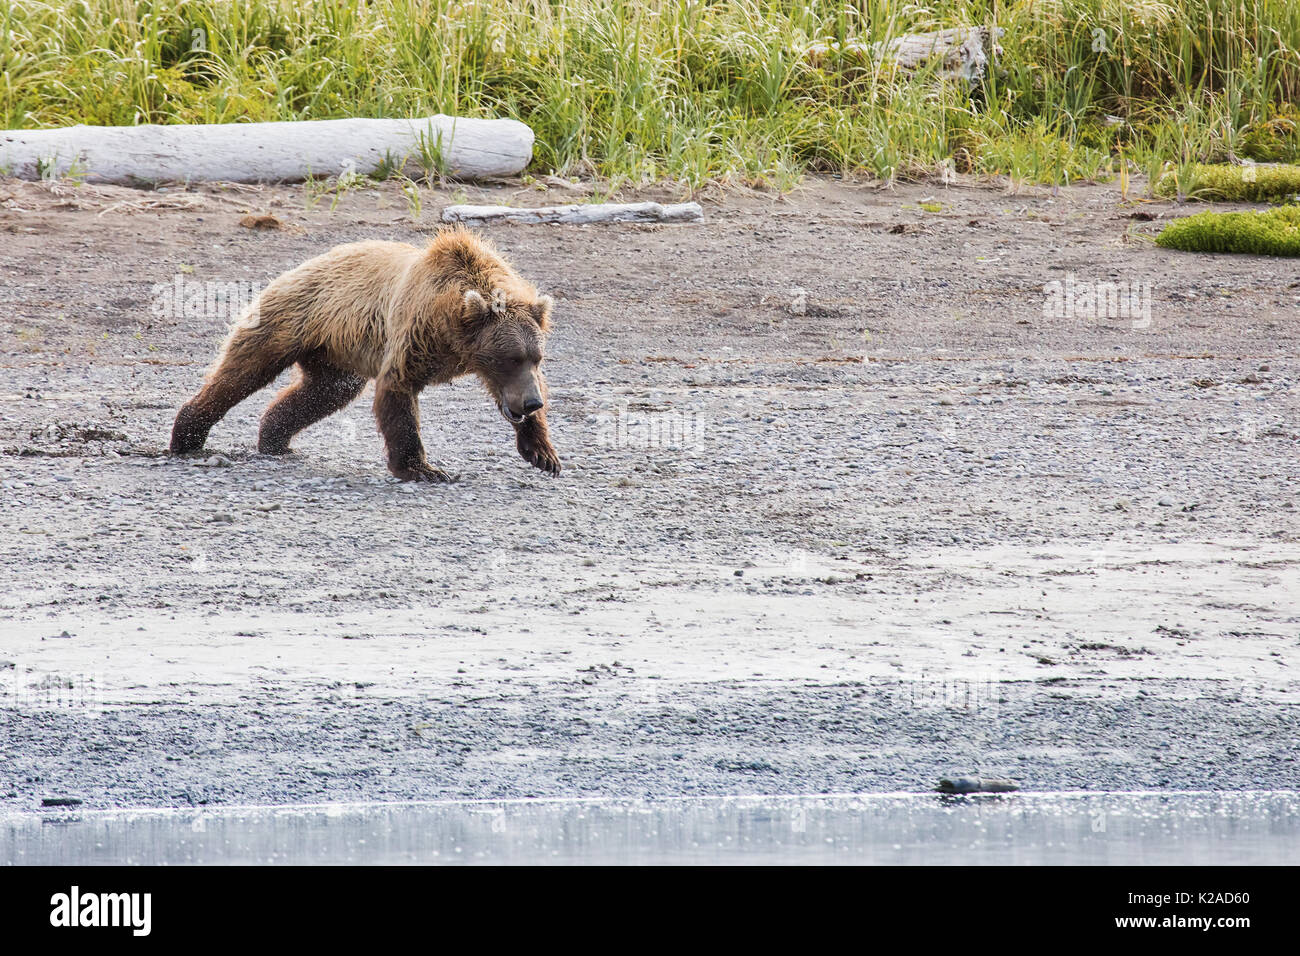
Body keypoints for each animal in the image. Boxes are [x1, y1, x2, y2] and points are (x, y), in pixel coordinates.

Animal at [167, 228, 559, 481]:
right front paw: (423, 469)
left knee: (324, 392)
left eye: (535, 357)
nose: (531, 403)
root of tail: (298, 267)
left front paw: (543, 454)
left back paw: (274, 439)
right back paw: (187, 435)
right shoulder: (416, 333)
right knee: (242, 372)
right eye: (510, 358)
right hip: (289, 318)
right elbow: (398, 391)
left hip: (333, 353)